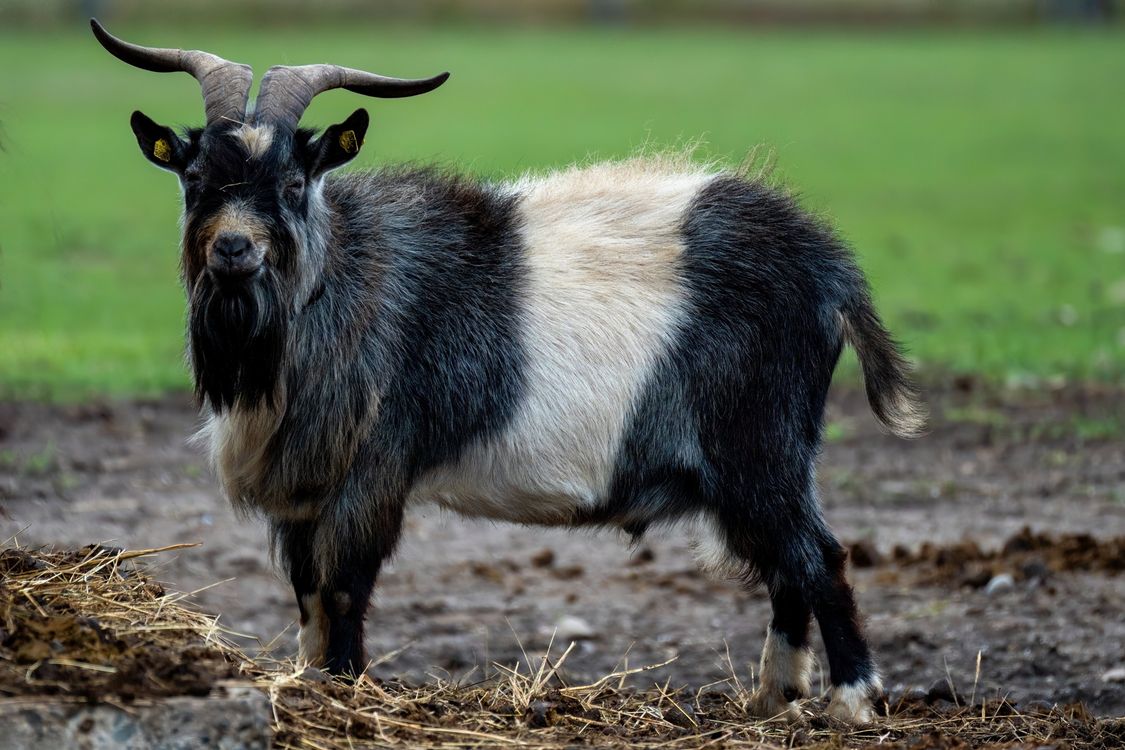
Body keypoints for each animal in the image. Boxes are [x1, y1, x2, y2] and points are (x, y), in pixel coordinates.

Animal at [93, 19, 925, 724]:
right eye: (194, 177)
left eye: (294, 183)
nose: (234, 248)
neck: (338, 277)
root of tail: (827, 265)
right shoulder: (304, 490)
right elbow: (307, 597)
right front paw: (307, 684)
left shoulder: (370, 472)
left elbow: (345, 589)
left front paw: (345, 692)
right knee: (785, 567)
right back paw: (772, 699)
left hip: (759, 447)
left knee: (816, 557)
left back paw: (851, 702)